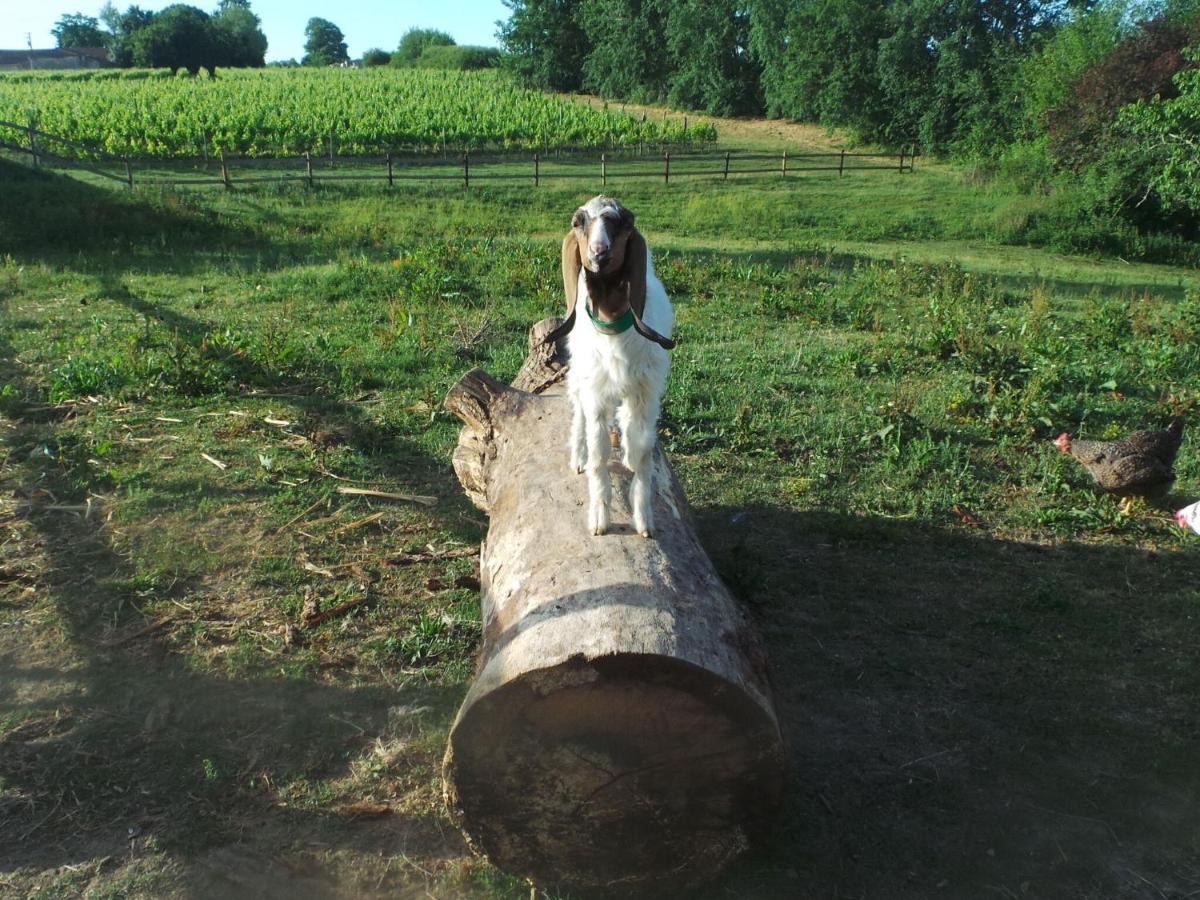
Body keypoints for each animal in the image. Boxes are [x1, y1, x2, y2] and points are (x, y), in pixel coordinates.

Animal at [544, 195, 676, 535]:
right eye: (578, 222)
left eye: (625, 222)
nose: (598, 253)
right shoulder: (596, 393)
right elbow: (600, 452)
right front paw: (599, 519)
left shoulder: (645, 391)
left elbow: (642, 449)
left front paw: (644, 520)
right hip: (580, 375)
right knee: (578, 414)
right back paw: (578, 457)